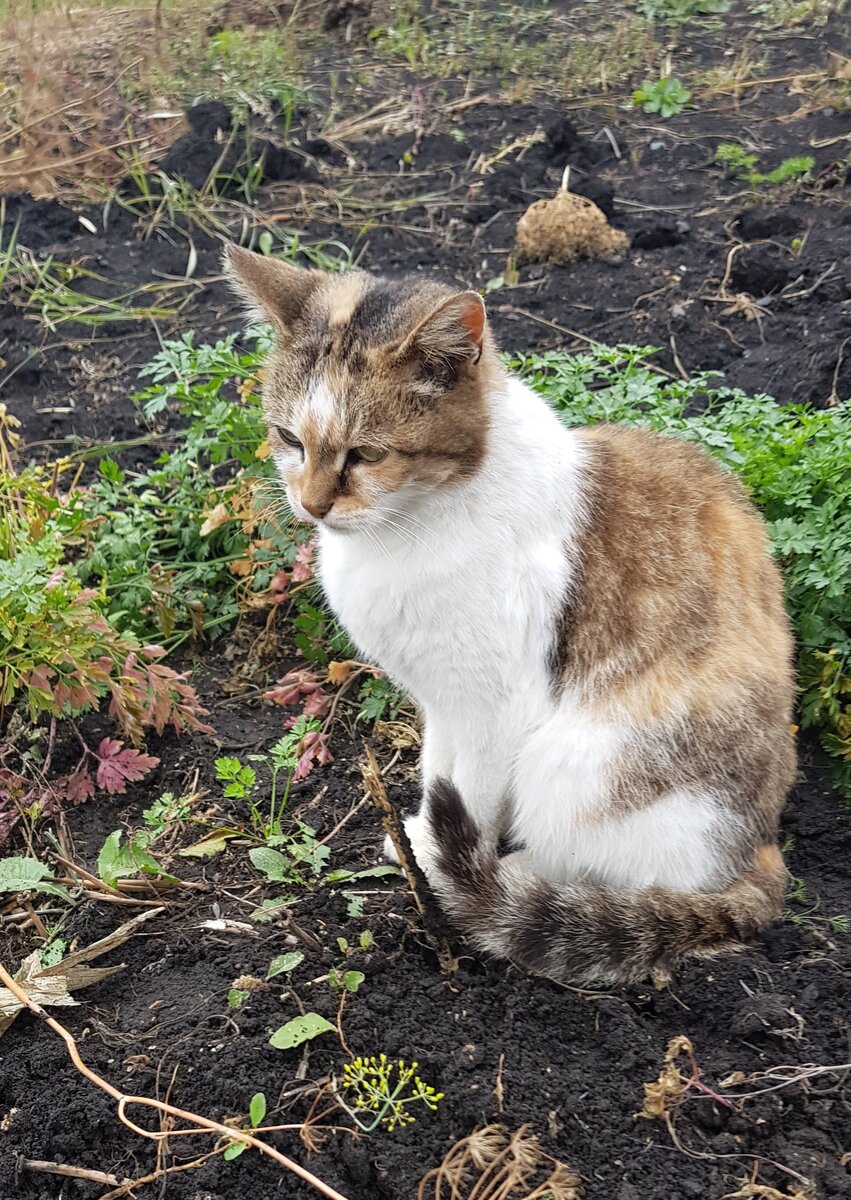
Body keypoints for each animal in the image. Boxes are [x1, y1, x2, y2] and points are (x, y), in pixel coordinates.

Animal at [226, 243, 796, 984]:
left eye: (367, 454)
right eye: (289, 438)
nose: (312, 505)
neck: (408, 527)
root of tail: (761, 845)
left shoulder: (497, 704)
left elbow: (471, 793)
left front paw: (445, 871)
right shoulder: (440, 698)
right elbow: (439, 773)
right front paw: (420, 838)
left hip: (583, 760)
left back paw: (523, 882)